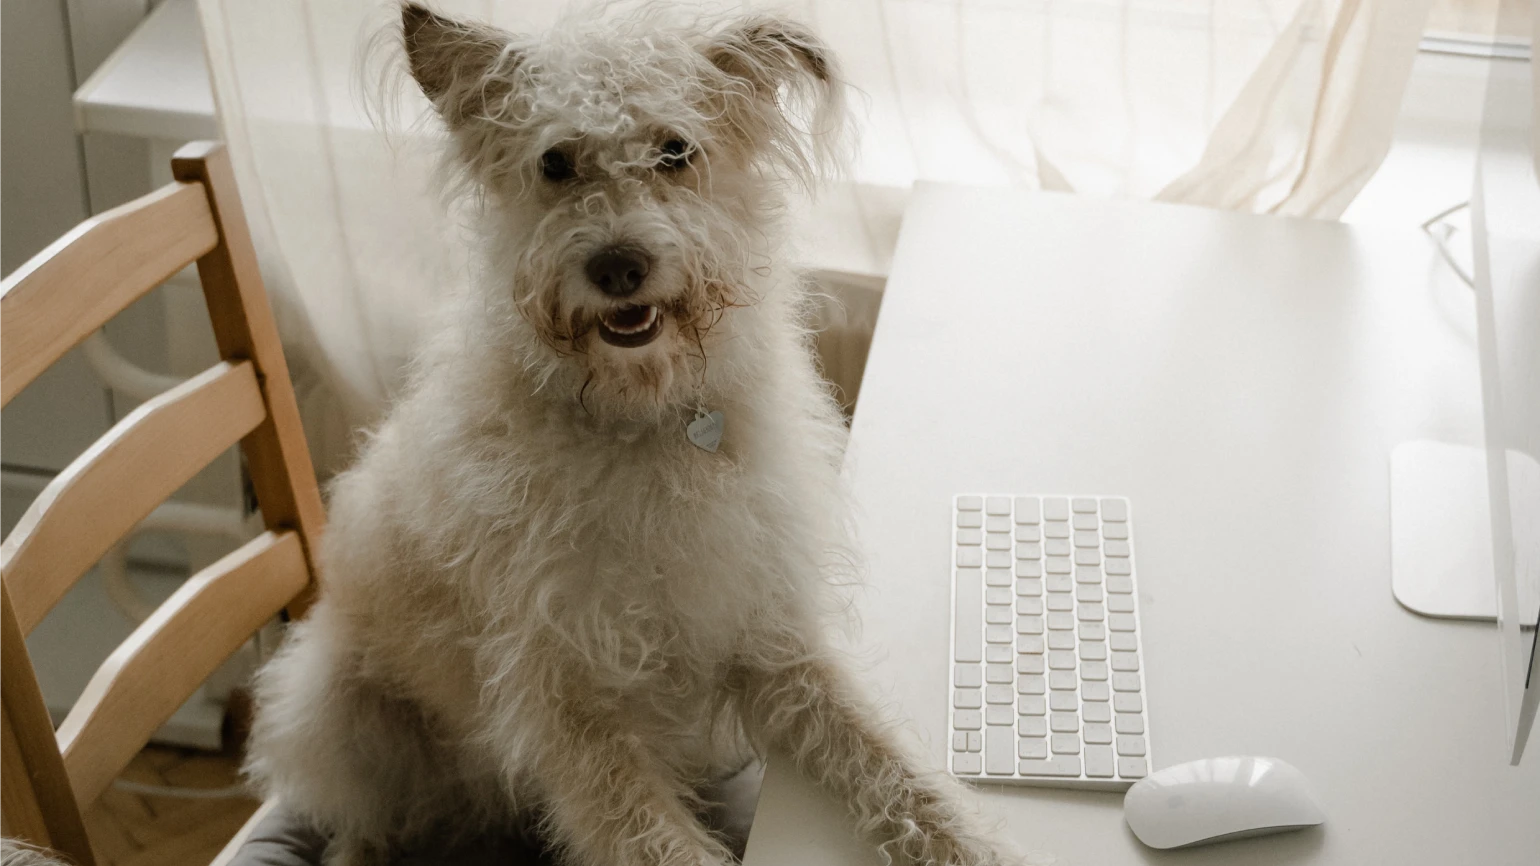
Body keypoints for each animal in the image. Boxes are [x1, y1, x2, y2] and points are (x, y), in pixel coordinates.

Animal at [244, 6, 1004, 862]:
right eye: (555, 161)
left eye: (675, 150)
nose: (617, 266)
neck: (644, 420)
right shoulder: (568, 710)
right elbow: (654, 837)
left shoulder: (769, 636)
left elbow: (886, 760)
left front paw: (972, 839)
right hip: (338, 709)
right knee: (369, 823)